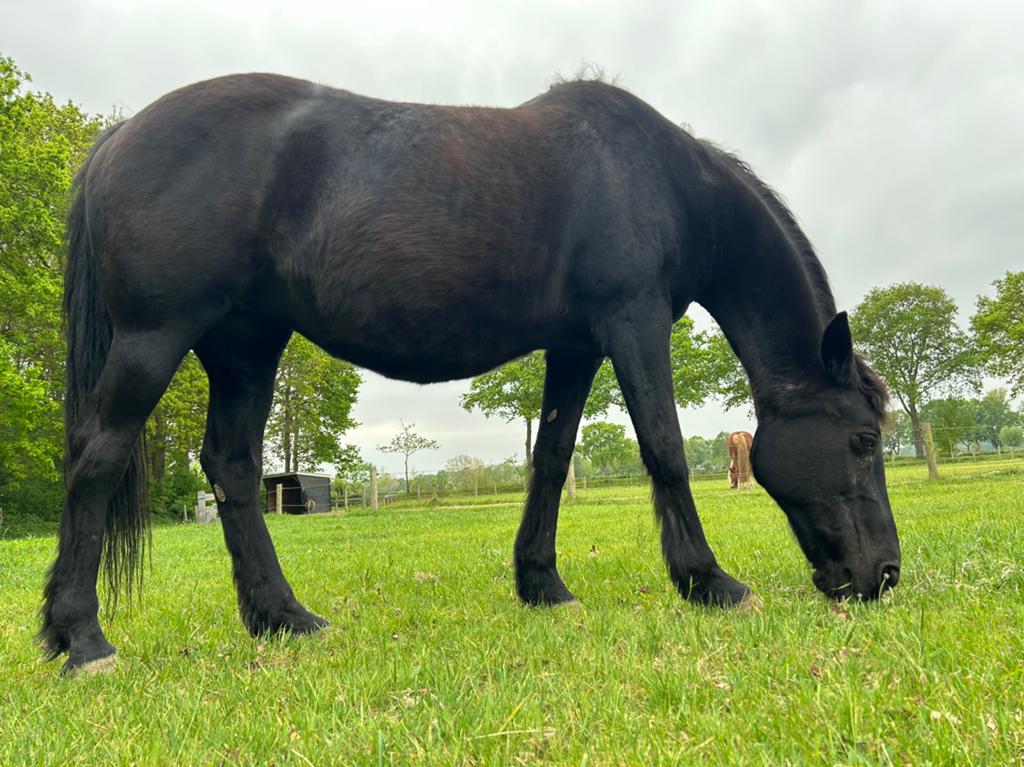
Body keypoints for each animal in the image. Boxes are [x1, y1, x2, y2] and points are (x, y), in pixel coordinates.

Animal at [43, 74, 900, 674]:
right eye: (862, 439)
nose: (883, 574)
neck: (659, 178)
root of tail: (118, 138)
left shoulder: (576, 345)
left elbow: (550, 459)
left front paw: (543, 585)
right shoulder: (634, 320)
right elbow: (663, 447)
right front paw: (710, 581)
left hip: (246, 346)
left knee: (231, 466)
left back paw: (284, 617)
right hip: (156, 337)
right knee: (98, 455)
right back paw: (83, 639)